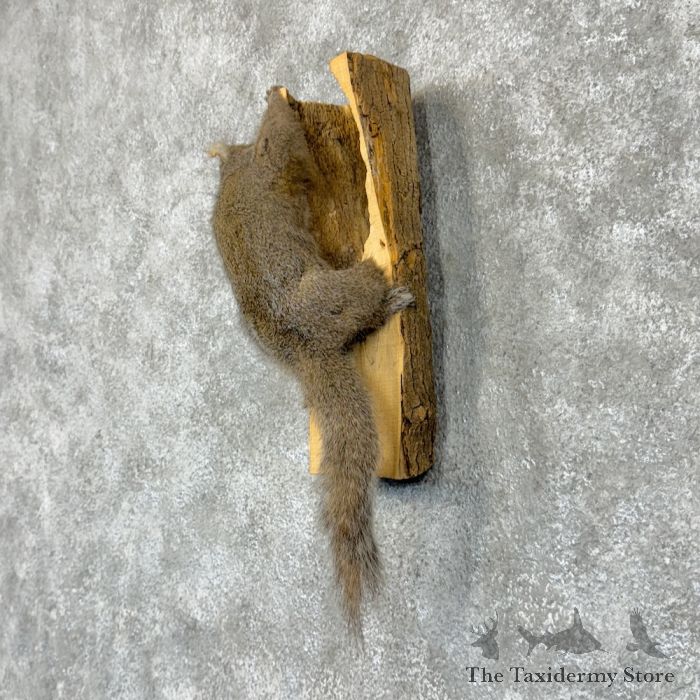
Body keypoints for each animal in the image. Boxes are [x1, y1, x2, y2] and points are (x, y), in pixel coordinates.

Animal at [209, 87, 414, 636]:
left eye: (238, 144)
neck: (238, 174)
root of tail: (305, 349)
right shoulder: (271, 161)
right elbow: (282, 144)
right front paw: (276, 99)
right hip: (339, 293)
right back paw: (390, 300)